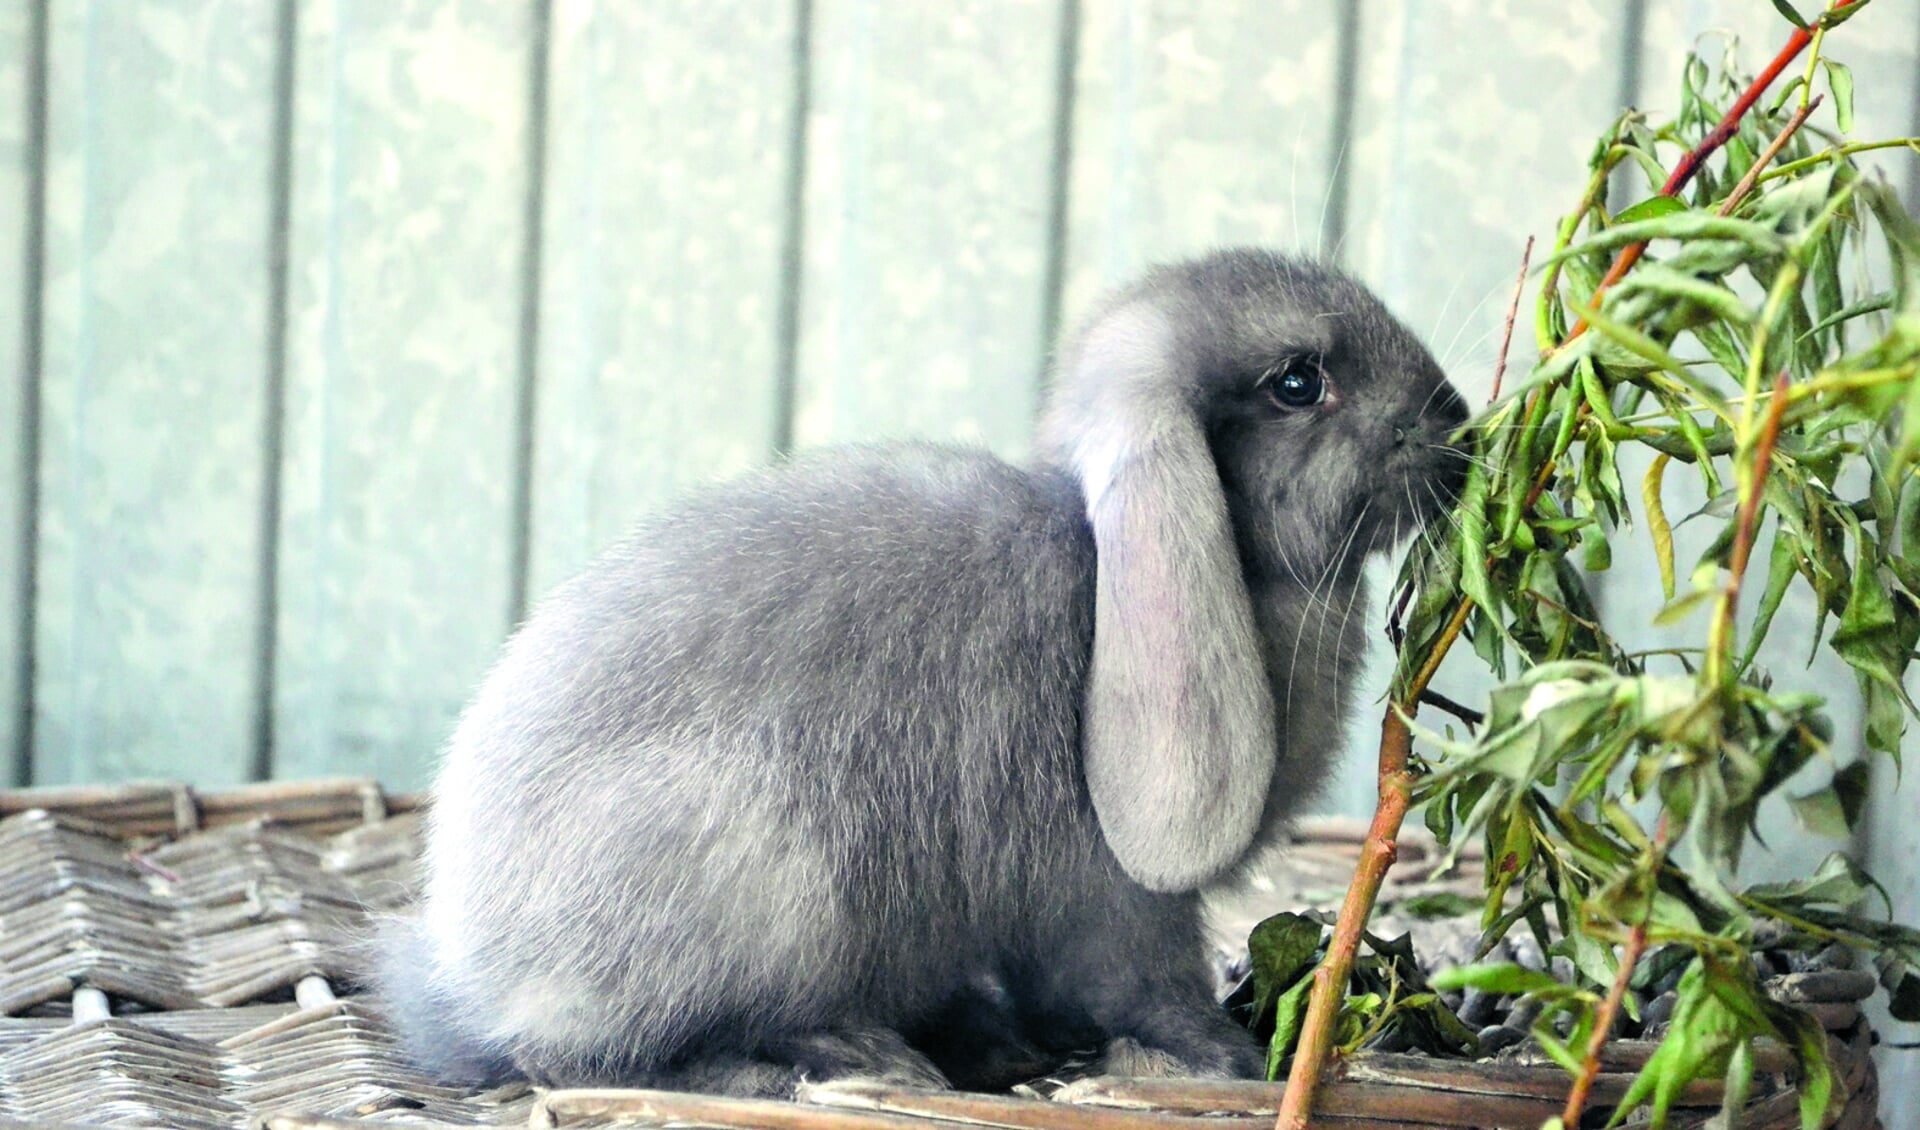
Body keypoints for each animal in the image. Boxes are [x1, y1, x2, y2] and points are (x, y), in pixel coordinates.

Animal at [374, 244, 1466, 1089]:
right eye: (1299, 382)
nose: (1456, 419)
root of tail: (468, 977)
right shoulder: (1119, 902)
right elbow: (1145, 987)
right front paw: (1226, 1056)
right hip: (771, 877)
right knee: (584, 1057)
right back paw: (831, 1060)